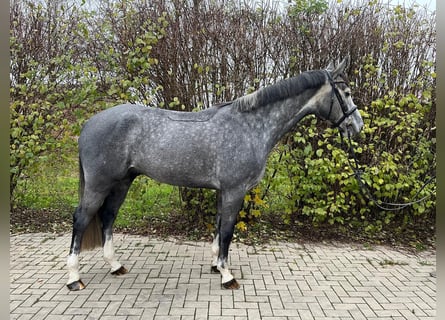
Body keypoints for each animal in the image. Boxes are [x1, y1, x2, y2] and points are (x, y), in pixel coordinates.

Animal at [67, 57, 364, 290]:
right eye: (347, 92)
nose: (357, 126)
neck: (250, 126)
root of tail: (89, 123)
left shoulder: (223, 191)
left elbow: (219, 227)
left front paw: (215, 265)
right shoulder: (235, 190)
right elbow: (228, 231)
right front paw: (227, 275)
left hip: (122, 182)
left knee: (107, 217)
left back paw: (115, 265)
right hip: (99, 184)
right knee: (81, 219)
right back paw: (74, 278)